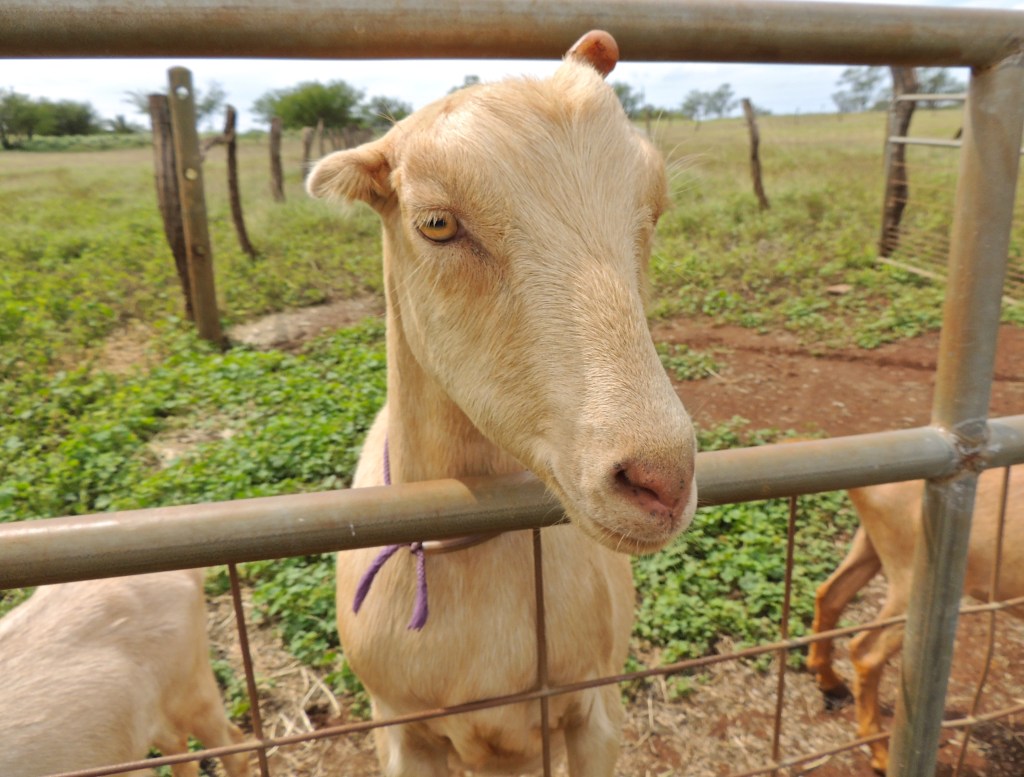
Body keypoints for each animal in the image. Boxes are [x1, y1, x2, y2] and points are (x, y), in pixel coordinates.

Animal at [807, 466, 1022, 773]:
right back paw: (883, 757)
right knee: (866, 650)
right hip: (909, 573)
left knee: (830, 594)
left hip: (870, 542)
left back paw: (830, 683)